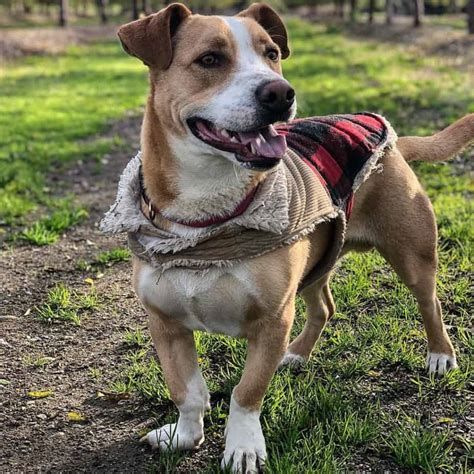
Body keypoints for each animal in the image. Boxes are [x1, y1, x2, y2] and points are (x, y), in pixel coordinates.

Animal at [108, 2, 474, 470]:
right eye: (209, 59)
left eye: (271, 54)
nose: (280, 93)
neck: (207, 220)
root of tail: (393, 142)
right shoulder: (165, 323)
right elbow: (186, 389)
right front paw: (185, 435)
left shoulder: (271, 320)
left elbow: (246, 392)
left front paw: (243, 447)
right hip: (317, 262)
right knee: (324, 307)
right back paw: (297, 353)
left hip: (412, 253)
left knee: (430, 303)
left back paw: (440, 355)